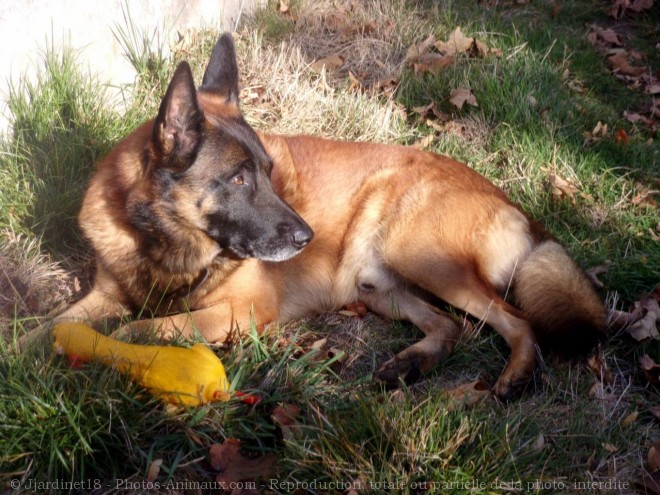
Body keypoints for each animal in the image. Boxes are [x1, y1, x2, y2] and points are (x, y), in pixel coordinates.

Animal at [21, 34, 608, 400]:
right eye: (239, 179)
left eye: (268, 171)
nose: (307, 236)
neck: (164, 241)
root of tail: (514, 205)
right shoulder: (103, 294)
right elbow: (46, 326)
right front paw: (23, 351)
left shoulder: (238, 311)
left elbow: (141, 328)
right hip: (379, 286)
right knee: (450, 326)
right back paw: (411, 363)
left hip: (422, 258)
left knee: (516, 321)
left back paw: (516, 374)